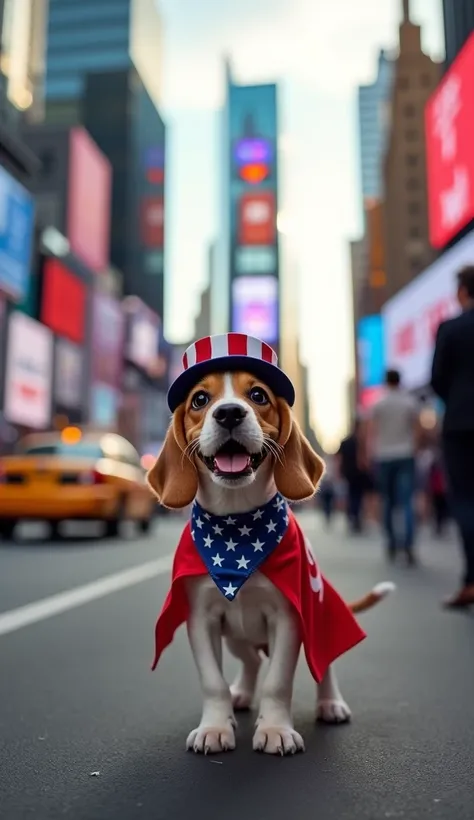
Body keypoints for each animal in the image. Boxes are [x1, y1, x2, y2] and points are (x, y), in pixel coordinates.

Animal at [147, 336, 392, 760]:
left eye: (258, 395)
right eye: (199, 399)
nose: (229, 413)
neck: (236, 528)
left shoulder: (289, 617)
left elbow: (280, 681)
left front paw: (276, 729)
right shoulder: (202, 618)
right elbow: (212, 681)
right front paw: (215, 726)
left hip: (318, 616)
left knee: (324, 663)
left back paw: (330, 703)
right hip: (236, 637)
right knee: (250, 663)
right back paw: (242, 694)